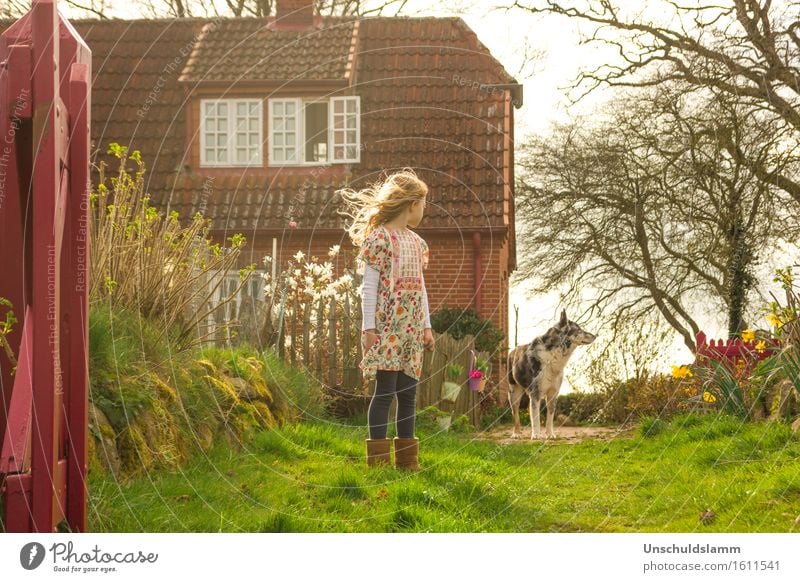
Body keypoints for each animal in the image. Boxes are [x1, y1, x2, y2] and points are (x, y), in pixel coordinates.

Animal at [506, 312, 592, 440]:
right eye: (578, 330)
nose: (595, 336)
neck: (553, 355)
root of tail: (512, 351)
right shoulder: (535, 394)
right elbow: (535, 418)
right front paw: (536, 435)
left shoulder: (553, 394)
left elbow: (549, 418)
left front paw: (550, 435)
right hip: (514, 394)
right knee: (515, 414)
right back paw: (516, 433)